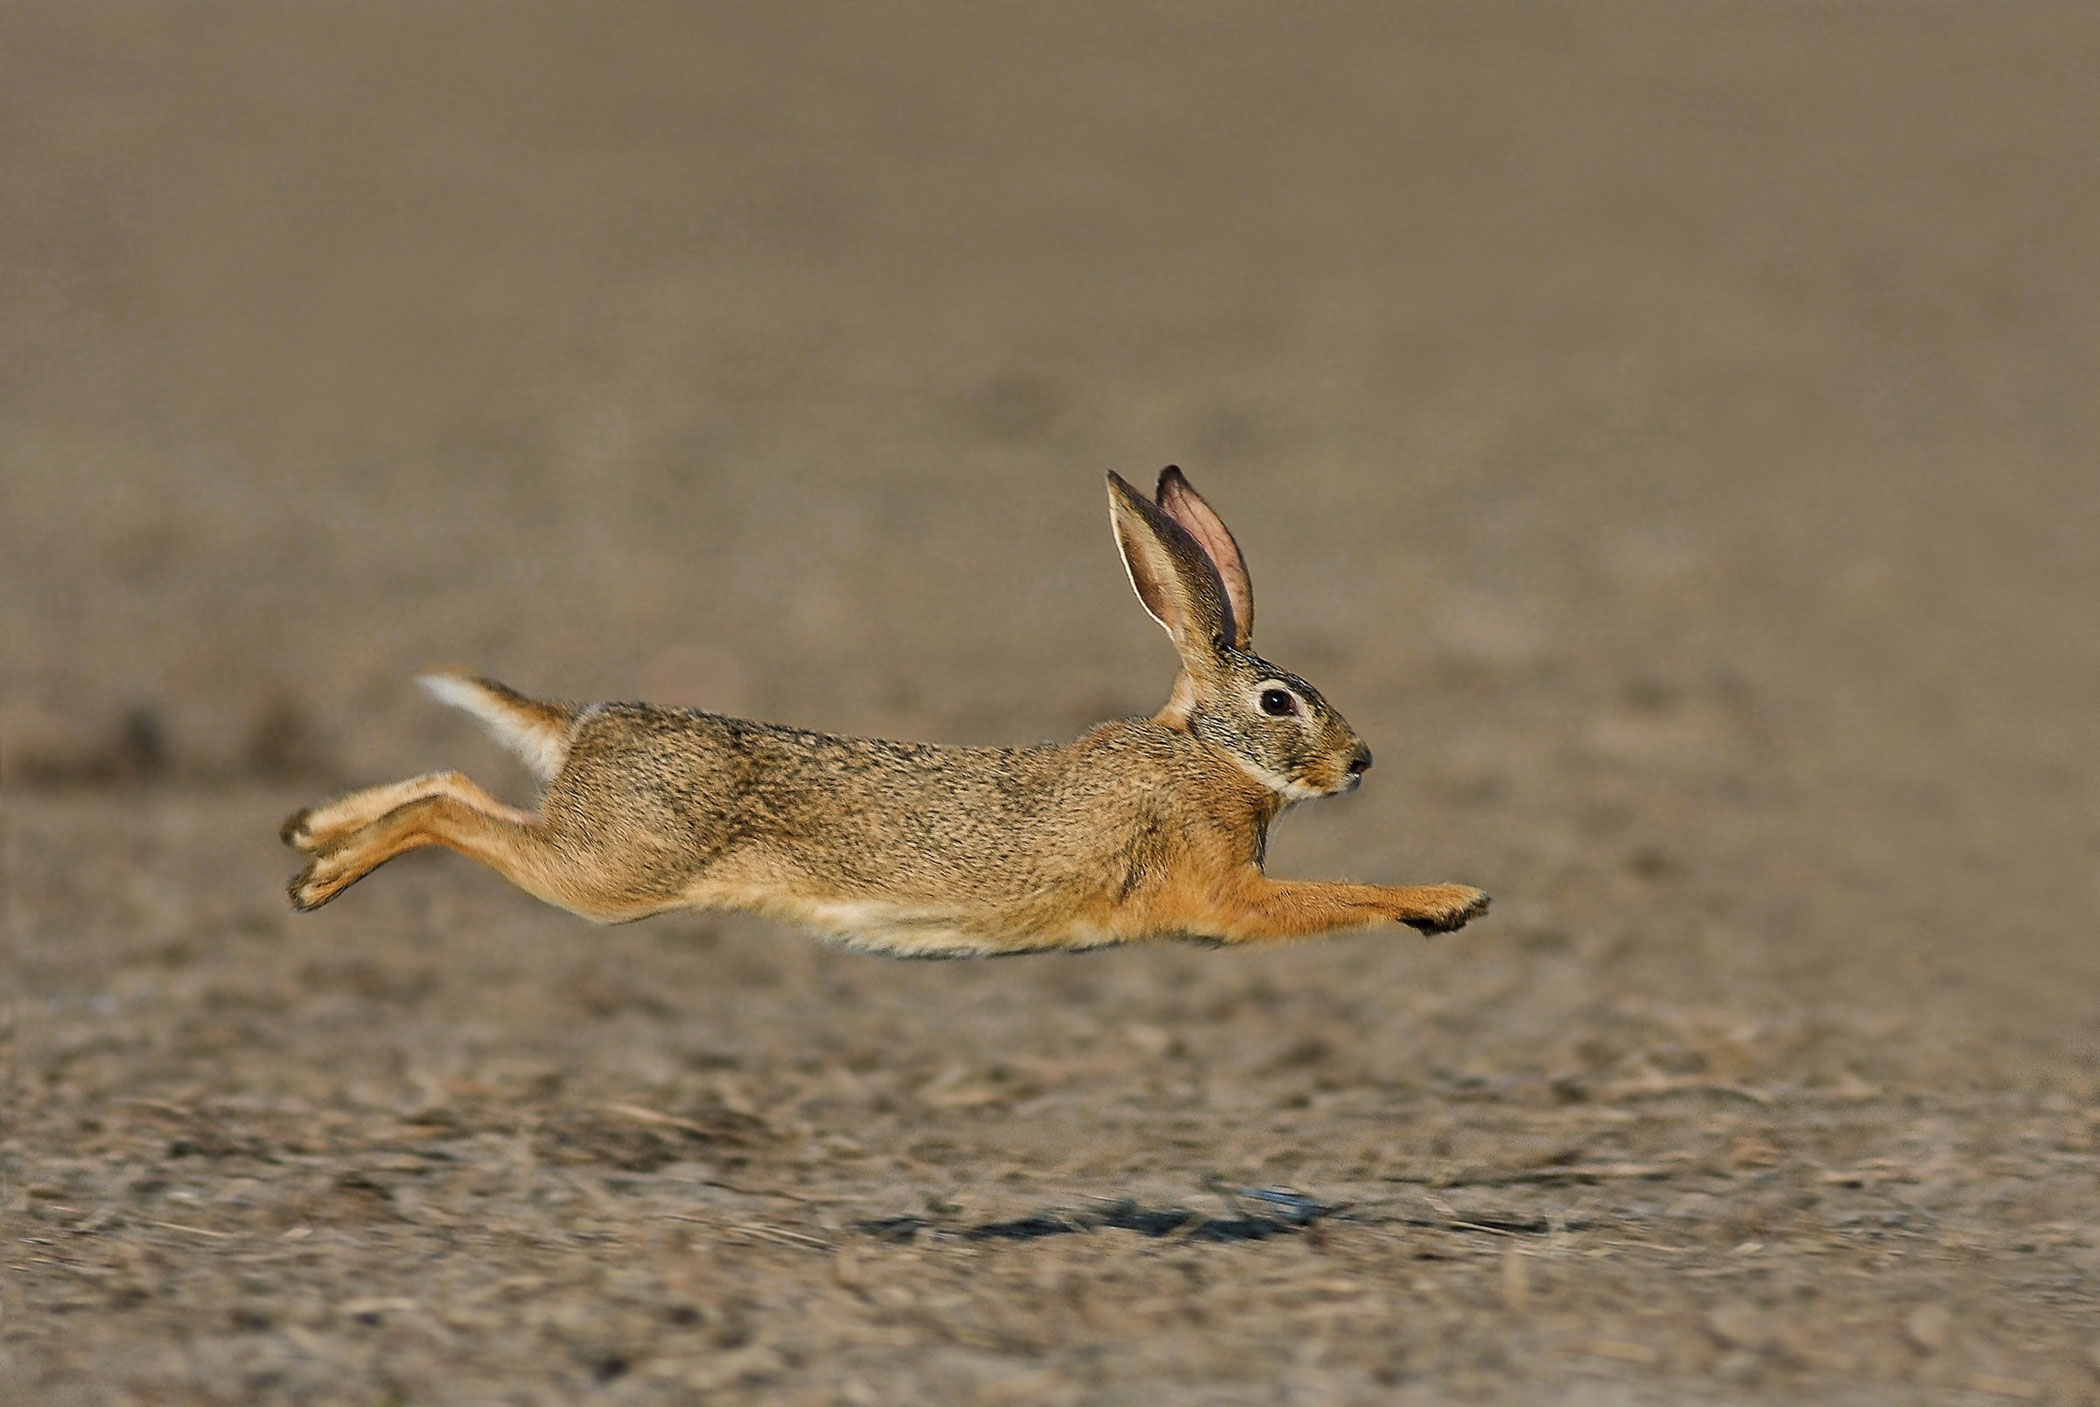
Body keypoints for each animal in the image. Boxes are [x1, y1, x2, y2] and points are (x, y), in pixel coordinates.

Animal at [282, 468, 1489, 955]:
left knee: (454, 784)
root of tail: (590, 722)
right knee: (451, 815)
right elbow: (1332, 895)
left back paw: (305, 836)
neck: (1203, 756)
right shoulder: (1222, 896)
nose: (1362, 761)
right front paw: (1452, 900)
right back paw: (317, 882)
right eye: (1280, 701)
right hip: (610, 874)